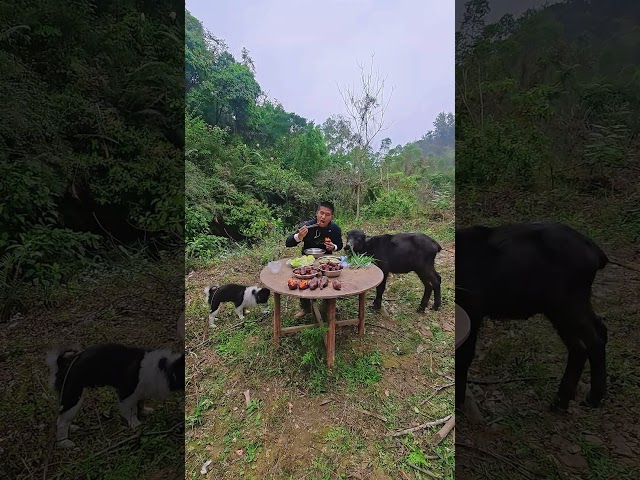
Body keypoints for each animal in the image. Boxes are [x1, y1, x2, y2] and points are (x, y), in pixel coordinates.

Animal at [45, 344, 184, 448]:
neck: (164, 368)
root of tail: (62, 366)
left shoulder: (140, 393)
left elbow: (141, 403)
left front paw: (144, 412)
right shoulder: (127, 395)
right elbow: (132, 412)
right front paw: (135, 424)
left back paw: (72, 428)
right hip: (74, 398)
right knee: (61, 422)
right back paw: (64, 442)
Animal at [456, 221, 608, 412]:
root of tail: (596, 253)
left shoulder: (473, 309)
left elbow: (464, 357)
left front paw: (459, 403)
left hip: (569, 304)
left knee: (593, 339)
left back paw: (592, 398)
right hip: (560, 309)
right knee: (585, 341)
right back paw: (561, 402)